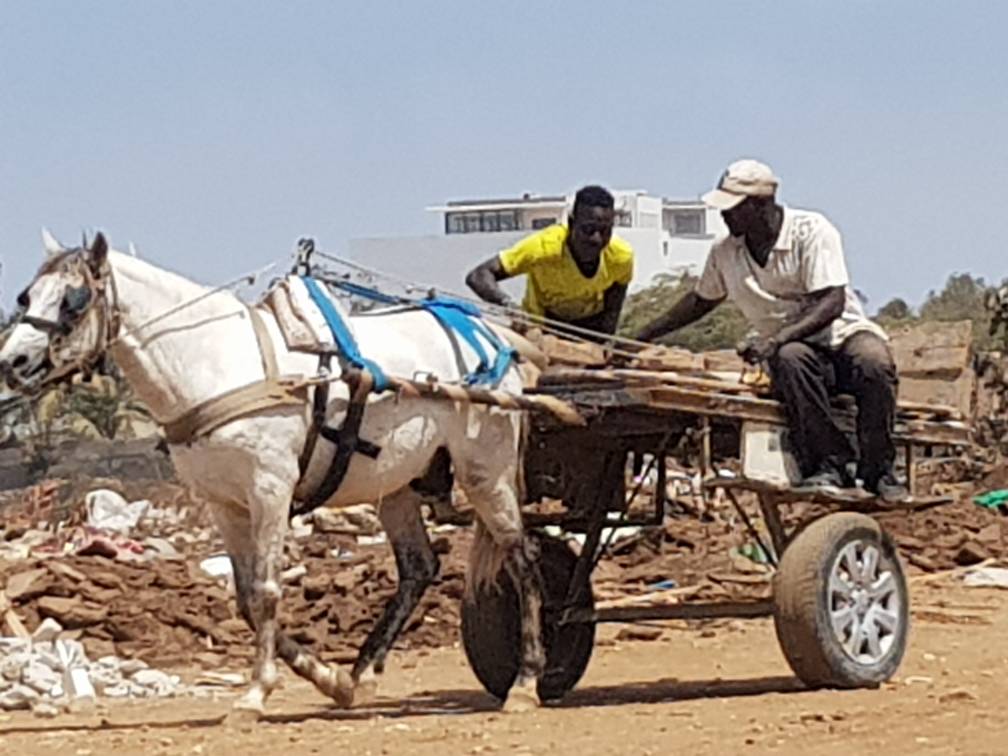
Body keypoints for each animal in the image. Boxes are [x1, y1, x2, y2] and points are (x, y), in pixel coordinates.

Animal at [0, 236, 544, 721]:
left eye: (73, 300)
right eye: (26, 295)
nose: (13, 362)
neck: (215, 362)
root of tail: (494, 338)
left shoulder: (270, 490)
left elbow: (266, 590)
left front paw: (256, 692)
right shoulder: (224, 503)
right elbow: (244, 597)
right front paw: (324, 676)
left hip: (486, 472)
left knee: (523, 559)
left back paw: (526, 680)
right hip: (396, 485)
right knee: (419, 567)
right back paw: (360, 674)